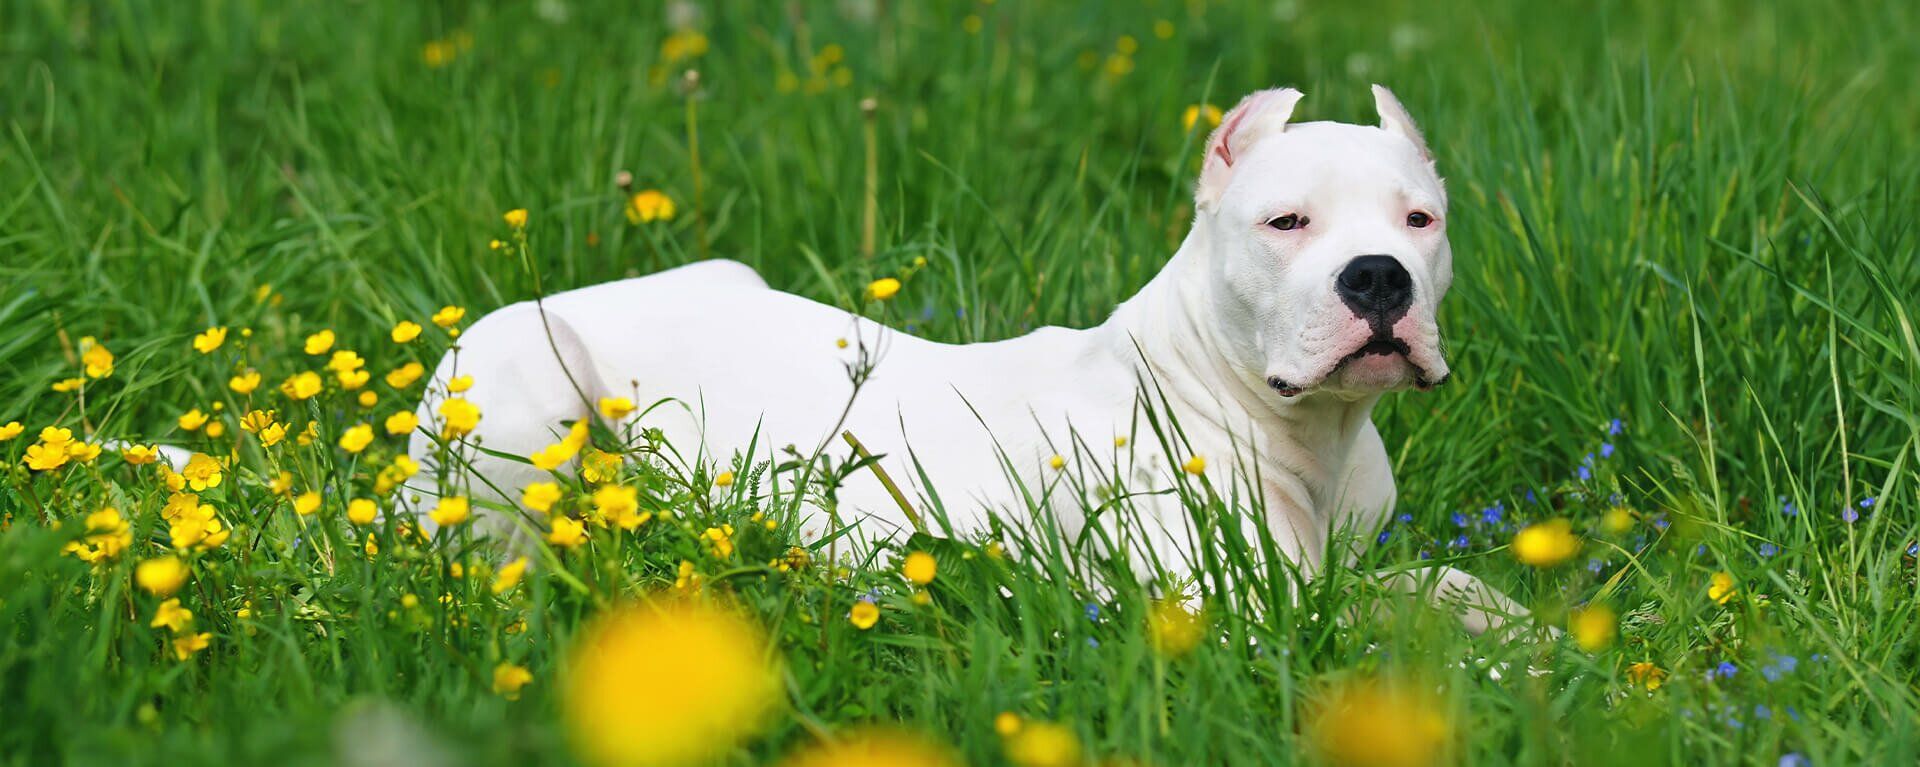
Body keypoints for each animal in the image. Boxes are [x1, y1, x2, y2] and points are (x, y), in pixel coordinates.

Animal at [408, 84, 1528, 638]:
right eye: (1286, 222)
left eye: (1420, 220)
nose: (1378, 279)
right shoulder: (1247, 601)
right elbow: (1391, 625)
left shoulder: (1351, 560)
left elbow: (1442, 584)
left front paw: (1527, 629)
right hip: (528, 408)